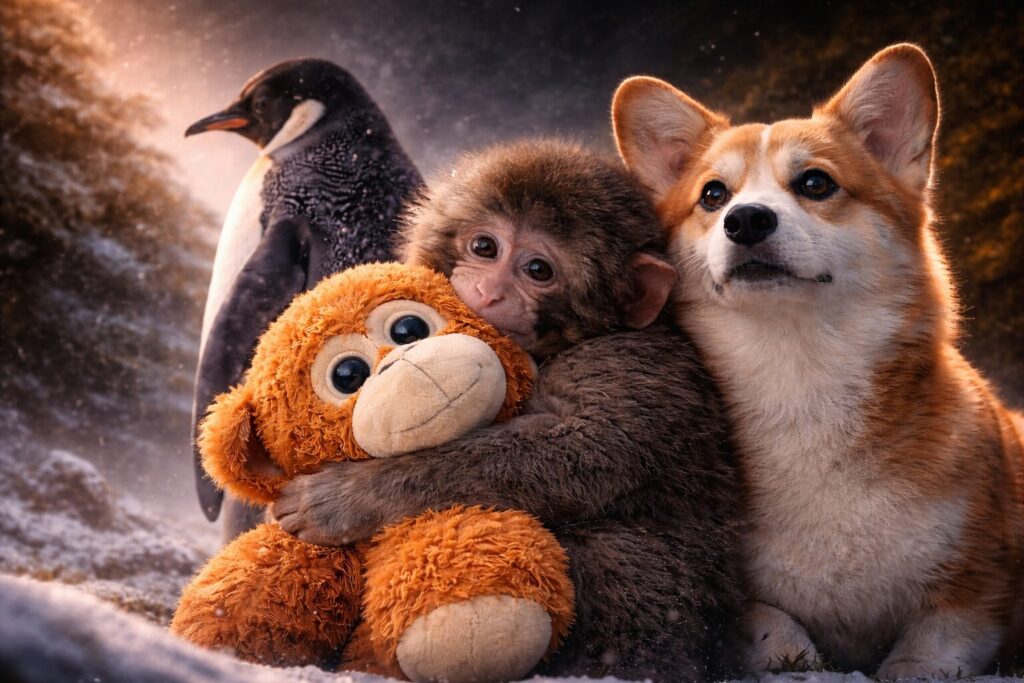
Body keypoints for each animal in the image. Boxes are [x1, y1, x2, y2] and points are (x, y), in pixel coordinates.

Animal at [272, 139, 744, 681]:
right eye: (485, 247)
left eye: (538, 270)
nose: (488, 291)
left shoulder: (635, 364)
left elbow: (590, 450)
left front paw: (345, 497)